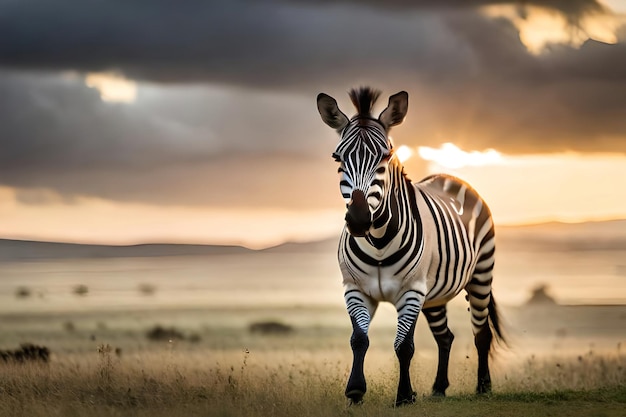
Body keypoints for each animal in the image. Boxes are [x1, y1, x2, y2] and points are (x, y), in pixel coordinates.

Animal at [314, 87, 504, 404]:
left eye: (385, 156)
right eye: (337, 158)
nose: (358, 219)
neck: (379, 240)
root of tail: (449, 177)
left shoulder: (411, 291)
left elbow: (404, 346)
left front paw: (403, 395)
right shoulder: (354, 289)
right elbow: (359, 339)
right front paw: (355, 391)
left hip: (480, 276)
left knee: (481, 334)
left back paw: (484, 387)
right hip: (435, 295)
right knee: (445, 336)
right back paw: (439, 388)